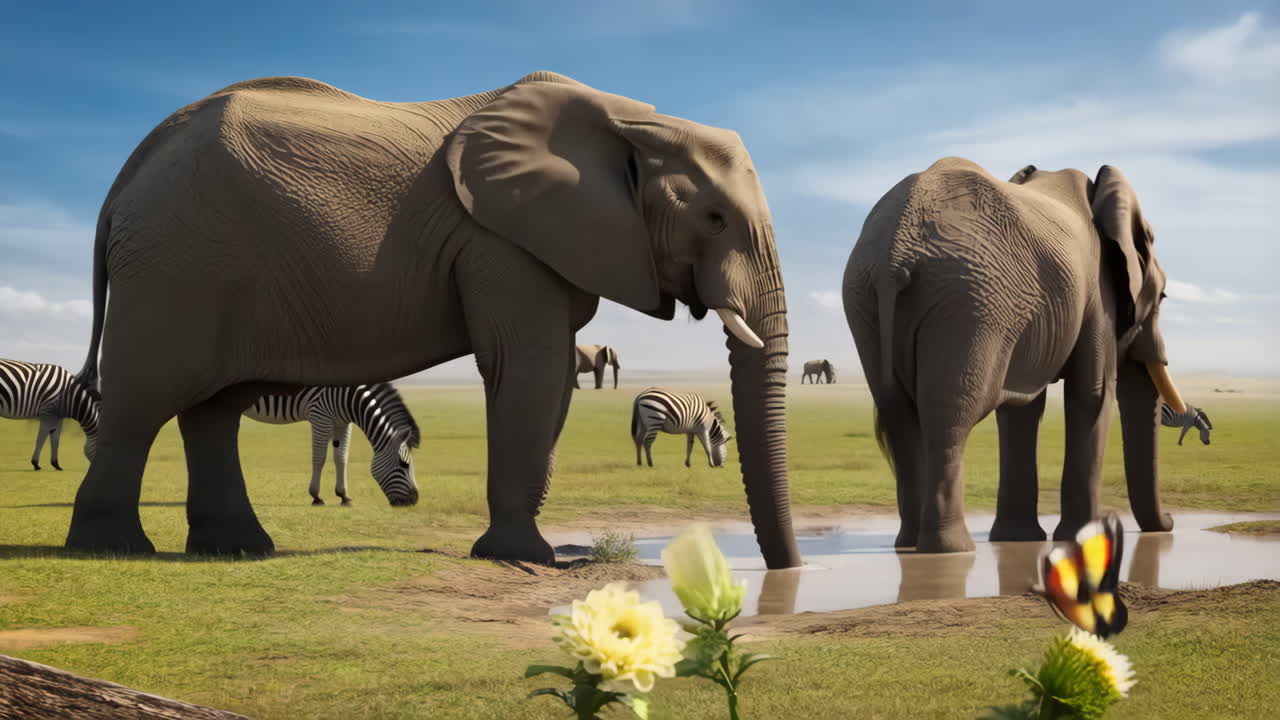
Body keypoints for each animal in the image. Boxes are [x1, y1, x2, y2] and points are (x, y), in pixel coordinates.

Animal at [243, 383, 421, 506]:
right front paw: (316, 496)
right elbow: (319, 458)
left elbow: (341, 457)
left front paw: (343, 496)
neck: (348, 396)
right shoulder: (320, 416)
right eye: (404, 464)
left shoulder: (342, 422)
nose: (414, 500)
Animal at [844, 157, 1193, 553]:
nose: (1169, 523)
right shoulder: (1097, 294)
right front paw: (1079, 539)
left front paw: (1018, 538)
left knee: (898, 411)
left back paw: (908, 545)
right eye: (1162, 297)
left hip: (865, 298)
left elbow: (1021, 410)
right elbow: (1091, 395)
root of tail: (895, 251)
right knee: (950, 414)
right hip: (970, 301)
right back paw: (951, 548)